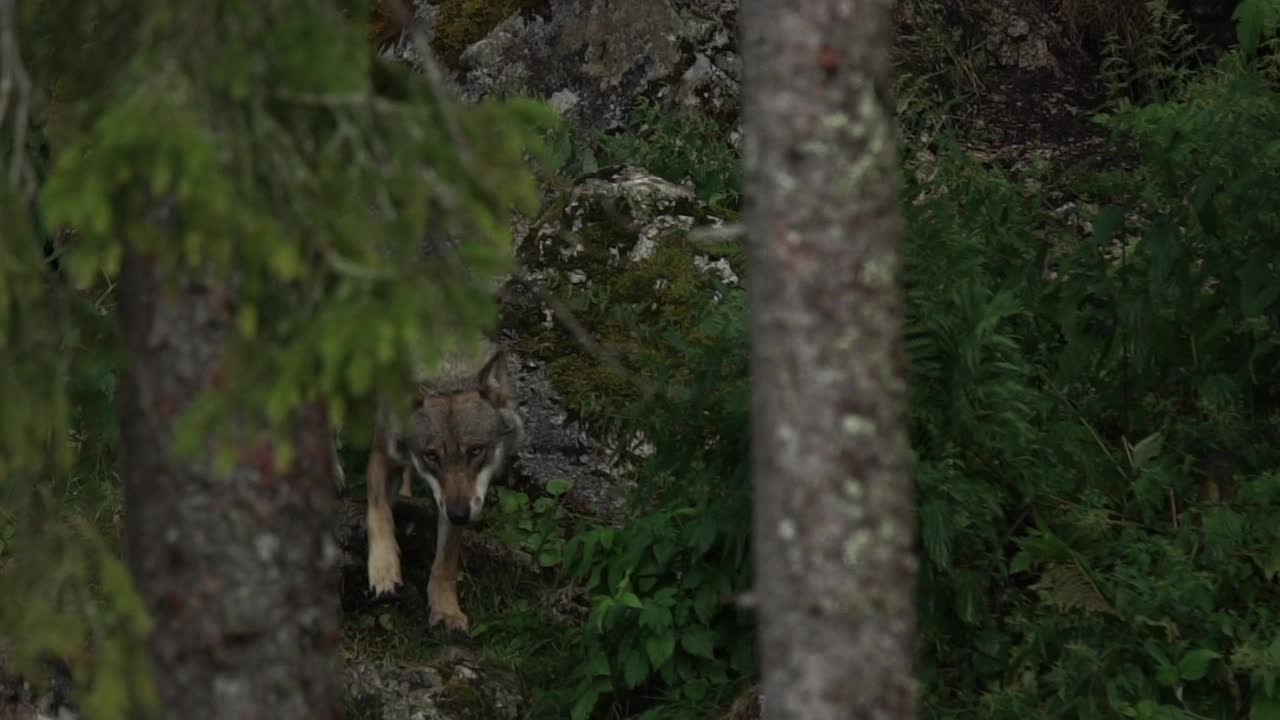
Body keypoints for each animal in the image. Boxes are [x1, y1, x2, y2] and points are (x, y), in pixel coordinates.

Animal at [345, 340, 524, 627]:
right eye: (431, 455)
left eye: (476, 451)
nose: (459, 514)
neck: (446, 375)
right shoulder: (382, 455)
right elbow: (379, 514)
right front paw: (384, 572)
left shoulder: (455, 501)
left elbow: (446, 562)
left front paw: (446, 611)